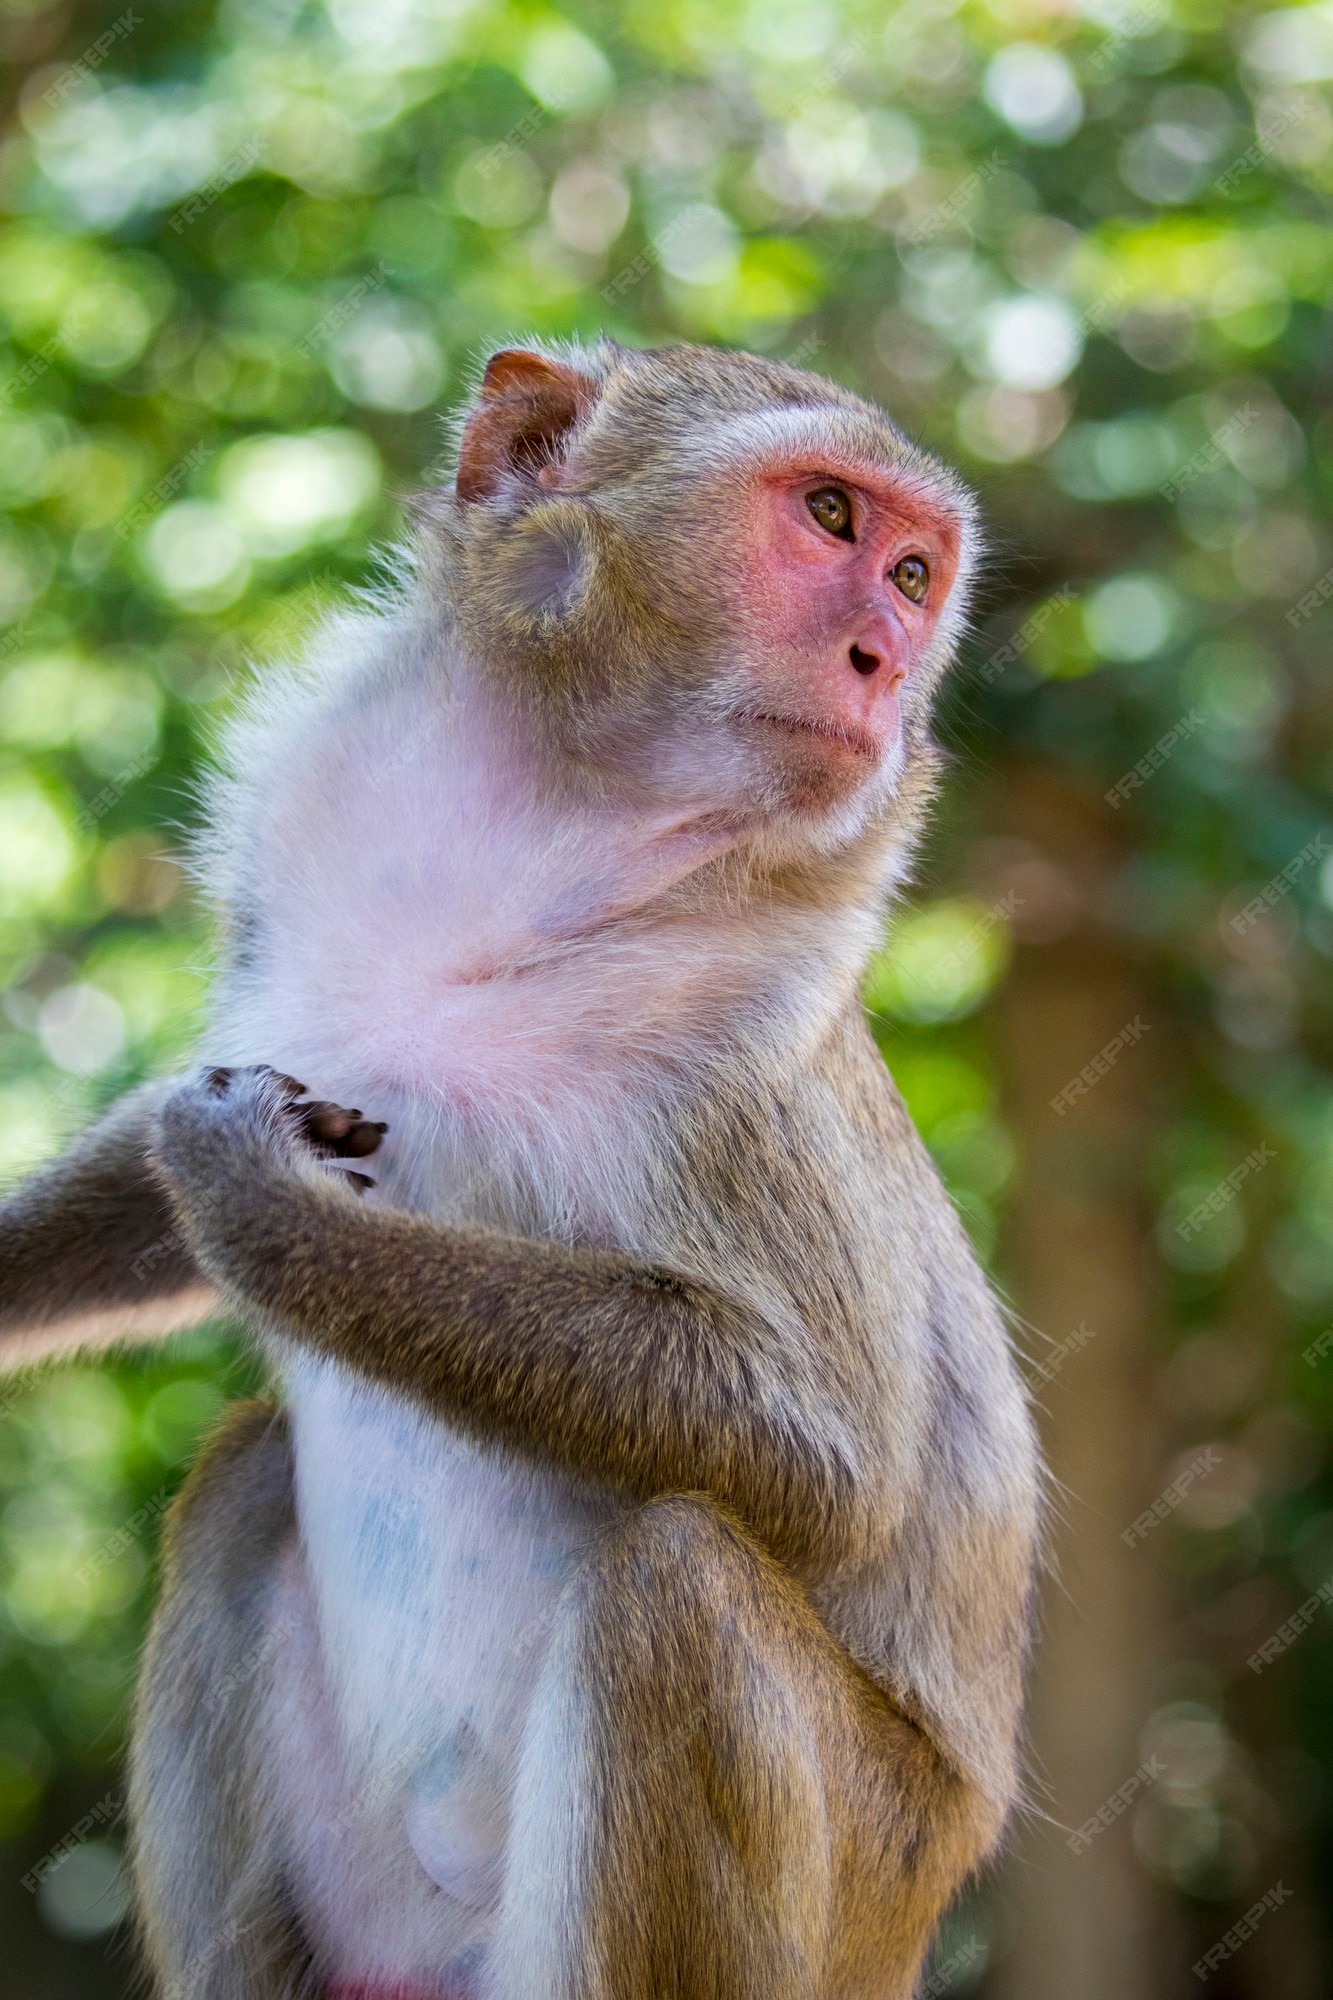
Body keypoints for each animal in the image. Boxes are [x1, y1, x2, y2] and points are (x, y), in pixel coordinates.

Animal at [0, 344, 1040, 2000]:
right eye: (830, 518)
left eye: (915, 573)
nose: (884, 657)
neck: (545, 837)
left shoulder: (755, 1035)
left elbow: (835, 1465)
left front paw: (266, 1216)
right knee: (240, 1480)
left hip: (847, 1886)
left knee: (676, 1585)